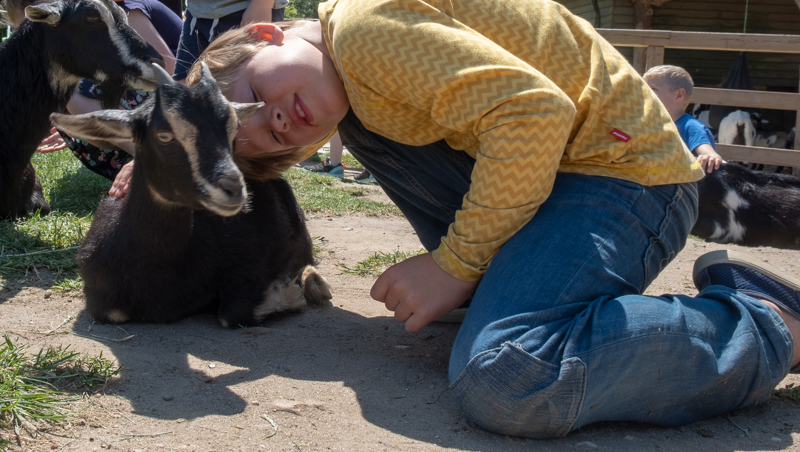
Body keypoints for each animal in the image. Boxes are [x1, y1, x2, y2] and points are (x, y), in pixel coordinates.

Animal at [50, 63, 332, 326]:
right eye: (164, 135)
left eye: (233, 132)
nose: (234, 189)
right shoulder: (102, 302)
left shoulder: (251, 264)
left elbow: (233, 313)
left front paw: (293, 291)